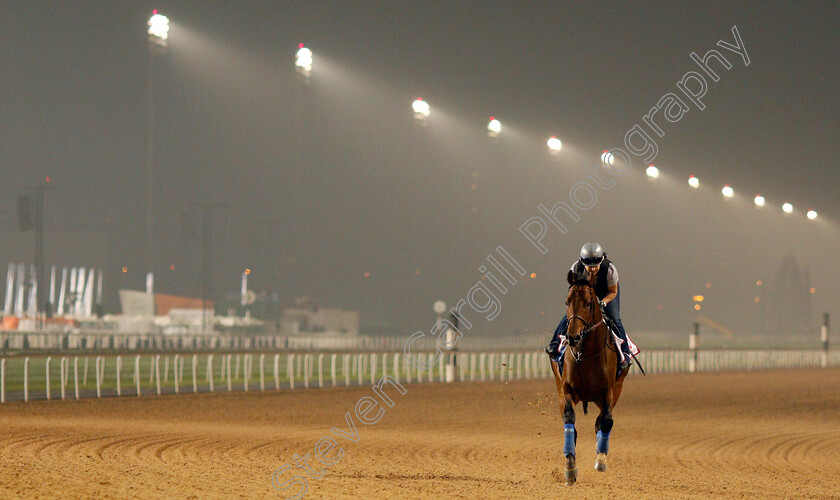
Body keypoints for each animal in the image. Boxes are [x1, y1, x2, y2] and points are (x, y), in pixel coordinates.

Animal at [548, 270, 628, 484]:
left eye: (588, 303)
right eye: (567, 301)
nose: (573, 336)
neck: (586, 355)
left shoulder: (608, 391)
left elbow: (606, 421)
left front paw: (601, 459)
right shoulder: (566, 389)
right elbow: (570, 419)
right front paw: (570, 467)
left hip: (616, 390)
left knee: (602, 421)